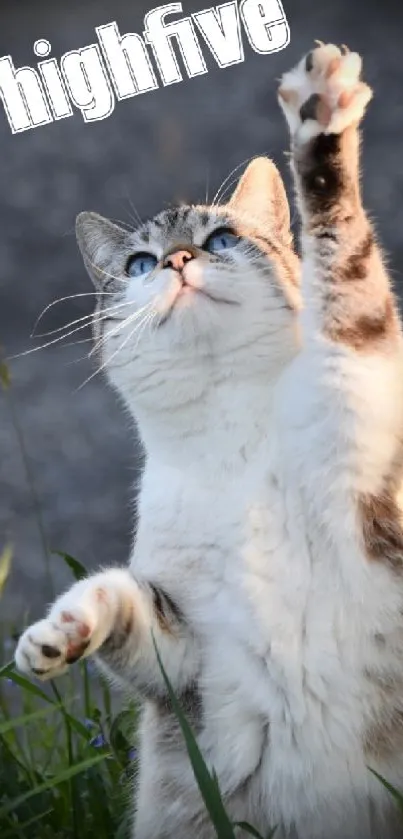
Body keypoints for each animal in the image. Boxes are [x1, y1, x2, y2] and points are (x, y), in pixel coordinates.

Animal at [15, 44, 403, 839]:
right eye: (138, 264)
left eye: (220, 240)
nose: (177, 261)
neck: (230, 437)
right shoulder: (188, 653)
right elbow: (123, 597)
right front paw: (57, 632)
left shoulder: (361, 391)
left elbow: (342, 255)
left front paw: (320, 121)